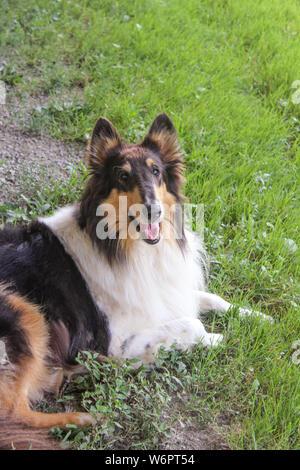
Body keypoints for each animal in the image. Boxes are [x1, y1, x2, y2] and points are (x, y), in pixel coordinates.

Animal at [0, 114, 272, 448]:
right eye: (123, 176)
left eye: (156, 171)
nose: (153, 210)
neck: (126, 248)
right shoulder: (116, 342)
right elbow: (192, 324)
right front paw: (215, 338)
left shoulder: (165, 292)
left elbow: (211, 299)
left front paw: (258, 317)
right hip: (23, 311)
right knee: (14, 412)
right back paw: (84, 418)